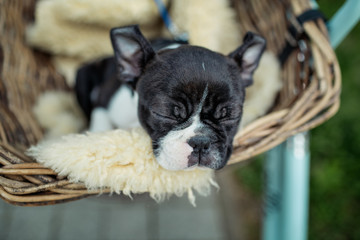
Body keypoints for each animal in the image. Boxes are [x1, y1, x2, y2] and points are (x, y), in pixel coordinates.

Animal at [74, 24, 266, 171]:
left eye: (232, 115)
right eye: (163, 113)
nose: (201, 142)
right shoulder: (104, 98)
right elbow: (100, 123)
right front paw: (94, 136)